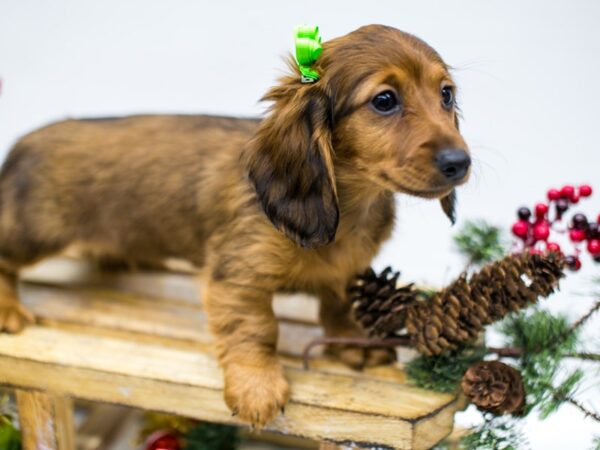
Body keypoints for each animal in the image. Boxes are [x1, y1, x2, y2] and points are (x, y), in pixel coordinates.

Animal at [0, 24, 468, 426]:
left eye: (446, 94)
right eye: (385, 100)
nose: (460, 163)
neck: (346, 206)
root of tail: (24, 141)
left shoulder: (348, 269)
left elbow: (336, 300)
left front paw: (350, 338)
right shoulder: (237, 276)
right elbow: (256, 329)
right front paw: (256, 385)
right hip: (35, 231)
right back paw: (8, 309)